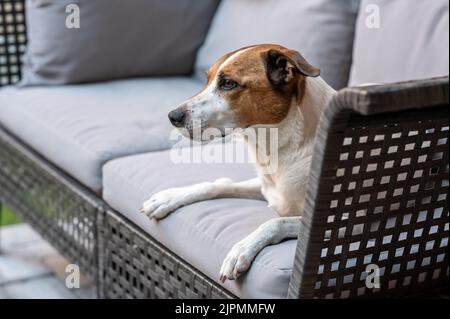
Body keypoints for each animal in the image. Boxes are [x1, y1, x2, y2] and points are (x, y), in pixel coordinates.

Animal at [139, 44, 336, 282]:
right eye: (207, 79)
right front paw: (170, 197)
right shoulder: (266, 187)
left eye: (228, 83)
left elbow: (276, 222)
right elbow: (217, 184)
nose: (172, 116)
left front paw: (242, 249)